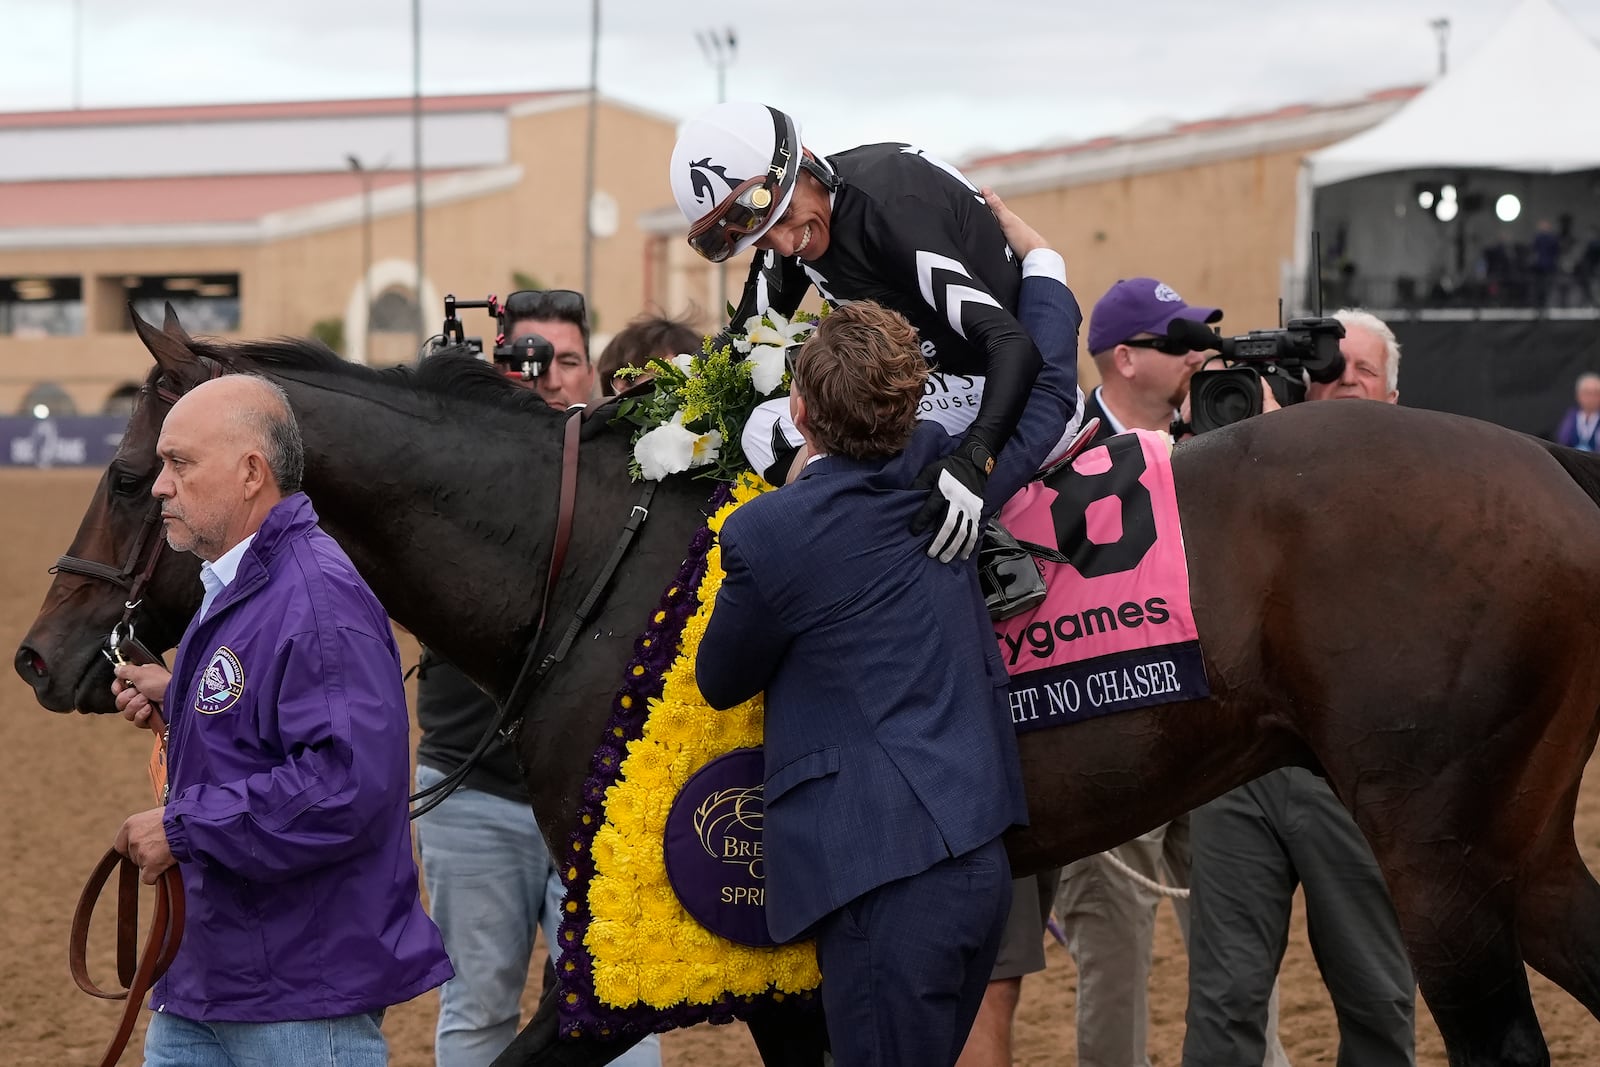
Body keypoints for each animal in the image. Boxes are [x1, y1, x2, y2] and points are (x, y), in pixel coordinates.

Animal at [18, 310, 1600, 1067]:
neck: (590, 558)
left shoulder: (723, 918)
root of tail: (1552, 471)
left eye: (130, 473)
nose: (42, 654)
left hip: (1436, 850)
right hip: (1515, 847)